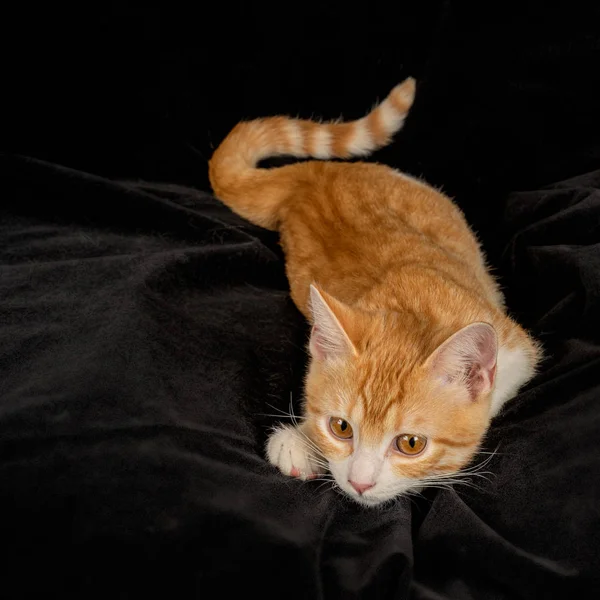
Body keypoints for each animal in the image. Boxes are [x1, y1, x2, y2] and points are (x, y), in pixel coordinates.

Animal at [207, 76, 540, 506]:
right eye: (341, 428)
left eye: (411, 443)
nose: (360, 483)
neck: (413, 306)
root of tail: (317, 174)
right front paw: (300, 438)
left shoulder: (518, 348)